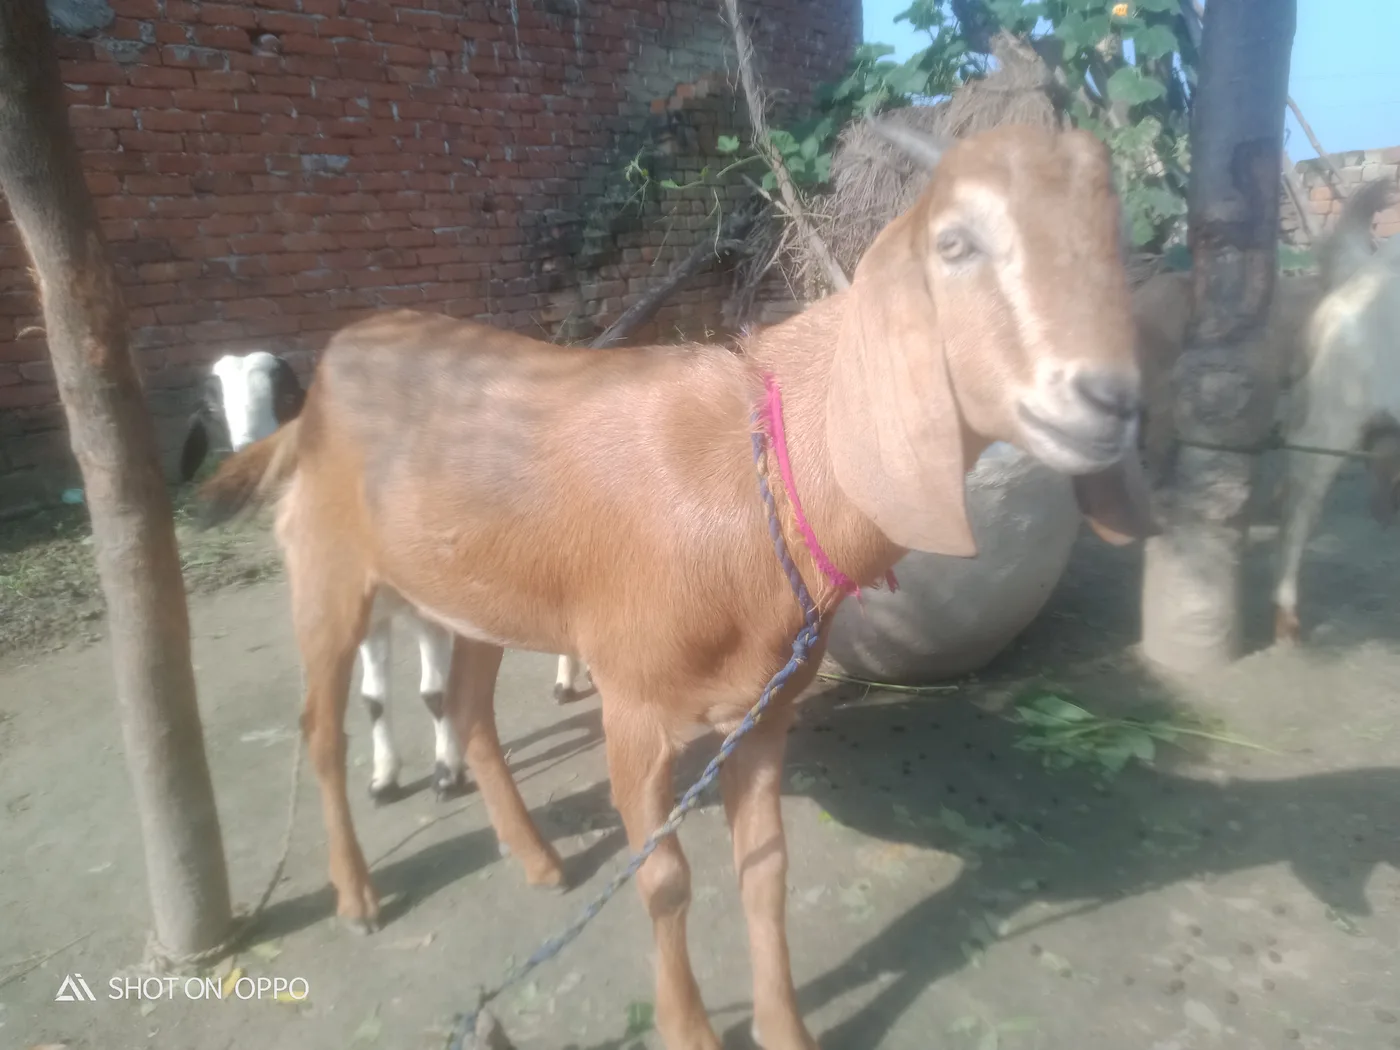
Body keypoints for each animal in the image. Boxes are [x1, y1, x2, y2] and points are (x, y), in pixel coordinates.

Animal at [182, 351, 592, 801]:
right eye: (211, 408)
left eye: (287, 396)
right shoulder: (370, 613)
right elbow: (373, 699)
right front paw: (385, 777)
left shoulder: (430, 613)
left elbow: (435, 694)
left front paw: (447, 772)